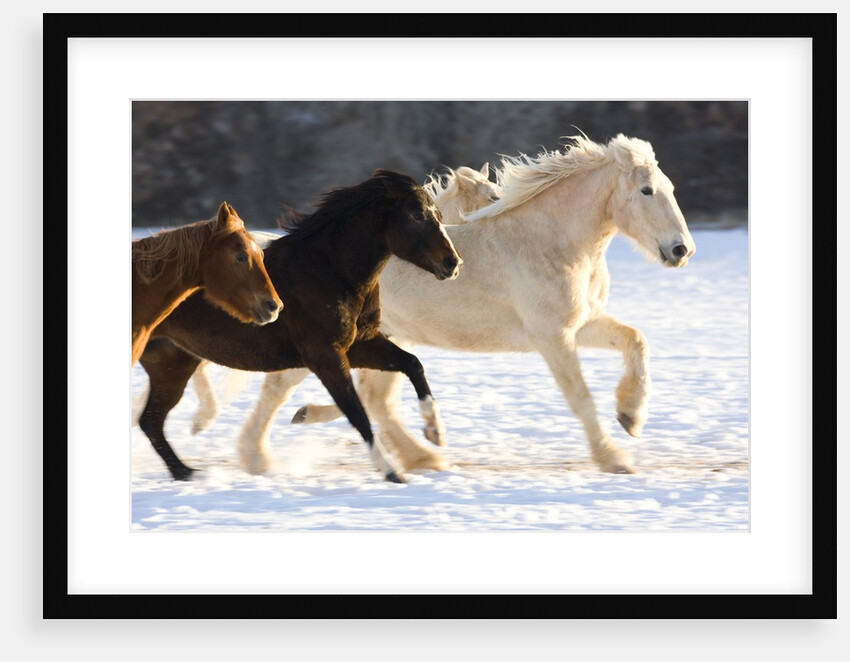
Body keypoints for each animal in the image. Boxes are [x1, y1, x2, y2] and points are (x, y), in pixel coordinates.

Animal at [215, 134, 695, 476]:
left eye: (670, 188)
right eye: (647, 190)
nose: (681, 250)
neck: (550, 243)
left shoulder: (582, 325)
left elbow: (636, 341)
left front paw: (631, 416)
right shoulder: (553, 337)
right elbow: (580, 398)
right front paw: (615, 458)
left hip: (381, 339)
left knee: (375, 399)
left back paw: (422, 456)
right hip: (328, 343)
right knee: (284, 389)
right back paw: (258, 458)